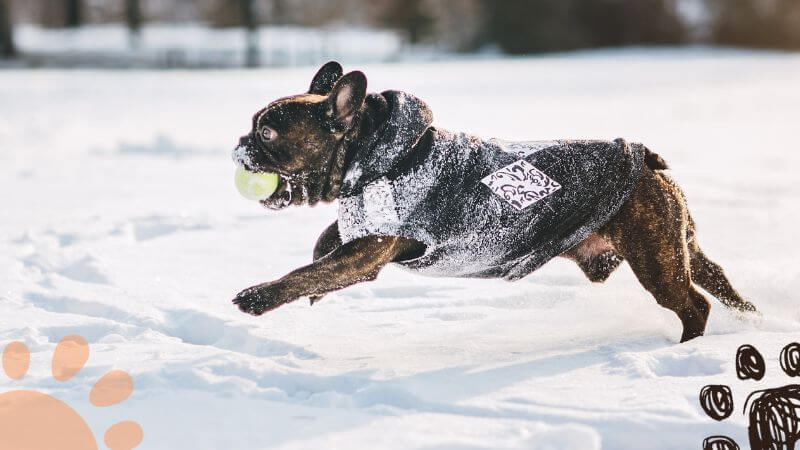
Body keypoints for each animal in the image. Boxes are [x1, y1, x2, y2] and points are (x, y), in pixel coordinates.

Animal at [230, 61, 756, 342]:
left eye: (268, 132)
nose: (240, 142)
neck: (372, 154)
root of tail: (646, 160)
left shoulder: (368, 251)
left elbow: (309, 271)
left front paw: (257, 297)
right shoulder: (362, 232)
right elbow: (326, 242)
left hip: (654, 259)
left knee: (693, 304)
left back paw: (685, 347)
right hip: (677, 245)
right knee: (718, 281)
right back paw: (750, 319)